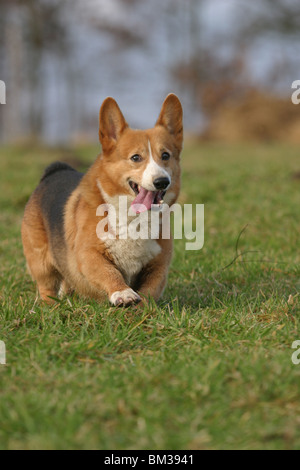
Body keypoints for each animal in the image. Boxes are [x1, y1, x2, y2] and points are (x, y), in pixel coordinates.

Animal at [21, 94, 183, 306]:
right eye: (136, 157)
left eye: (165, 155)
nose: (162, 181)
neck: (133, 219)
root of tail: (55, 170)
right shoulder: (89, 254)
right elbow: (109, 272)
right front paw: (123, 293)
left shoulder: (158, 265)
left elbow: (150, 289)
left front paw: (143, 306)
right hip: (41, 262)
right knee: (46, 286)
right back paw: (51, 306)